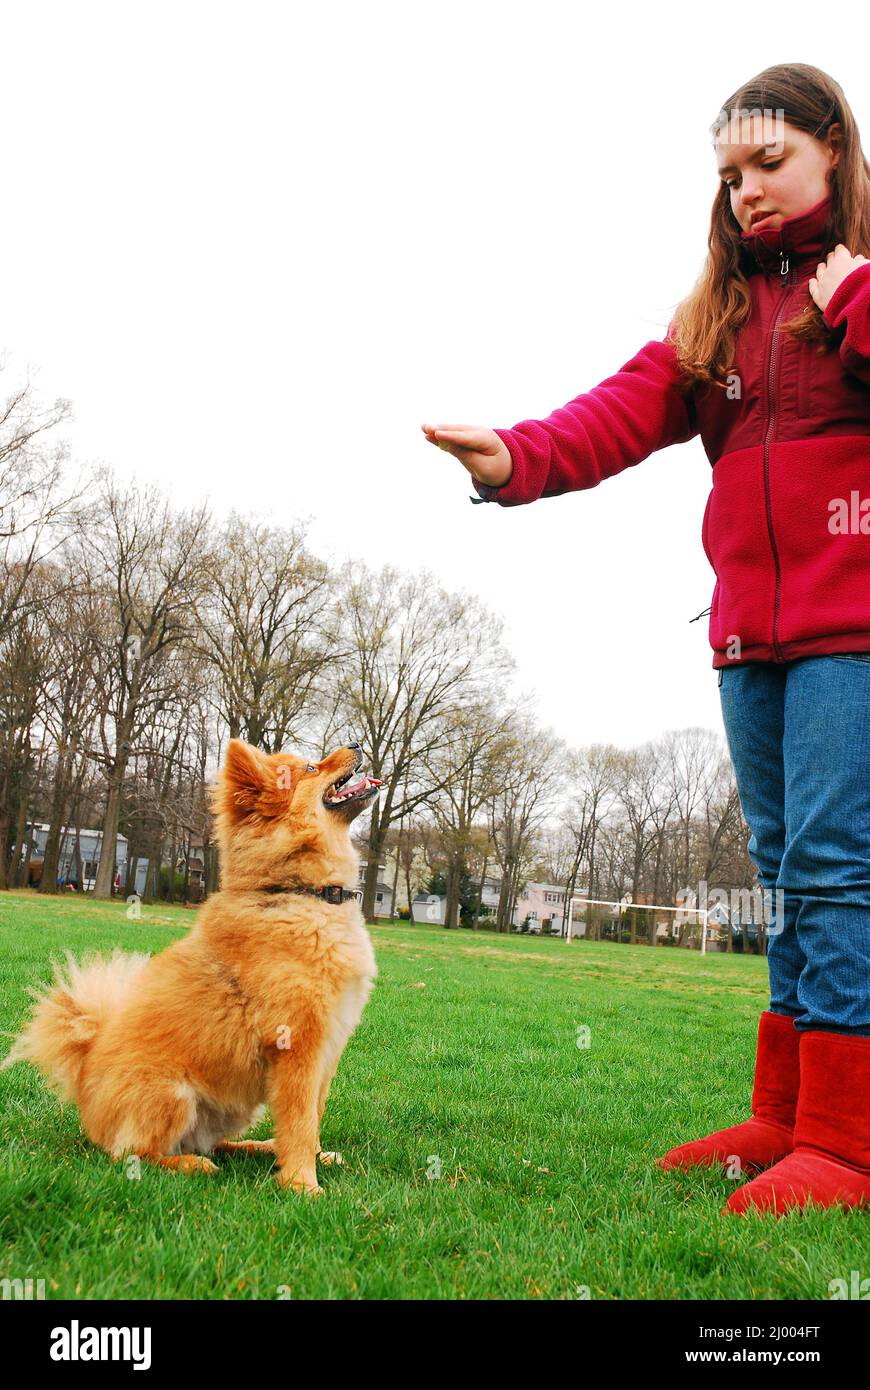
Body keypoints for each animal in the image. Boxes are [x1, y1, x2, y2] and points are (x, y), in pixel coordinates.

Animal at [1, 739, 378, 1195]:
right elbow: (300, 1122)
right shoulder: (297, 1046)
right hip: (171, 1096)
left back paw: (258, 1148)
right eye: (310, 767)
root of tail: (84, 1073)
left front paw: (311, 1161)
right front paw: (303, 1185)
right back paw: (192, 1165)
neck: (302, 893)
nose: (355, 743)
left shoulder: (329, 1048)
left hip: (230, 1111)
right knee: (133, 1155)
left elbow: (312, 1117)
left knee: (211, 1144)